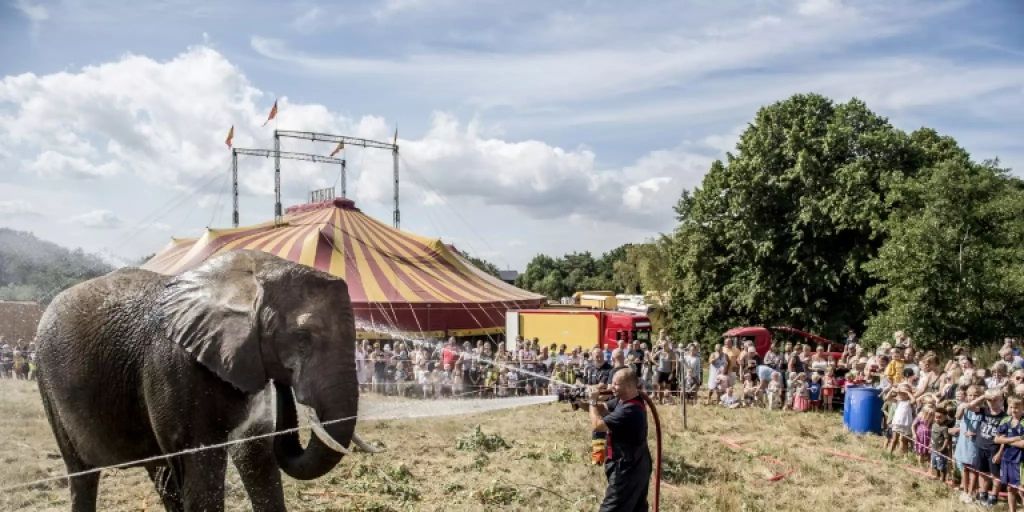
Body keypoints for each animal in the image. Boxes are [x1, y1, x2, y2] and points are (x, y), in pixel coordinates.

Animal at [36, 249, 362, 509]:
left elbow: (256, 458)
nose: (286, 382)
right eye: (303, 337)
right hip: (46, 383)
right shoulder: (173, 367)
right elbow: (202, 474)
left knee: (161, 473)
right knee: (83, 474)